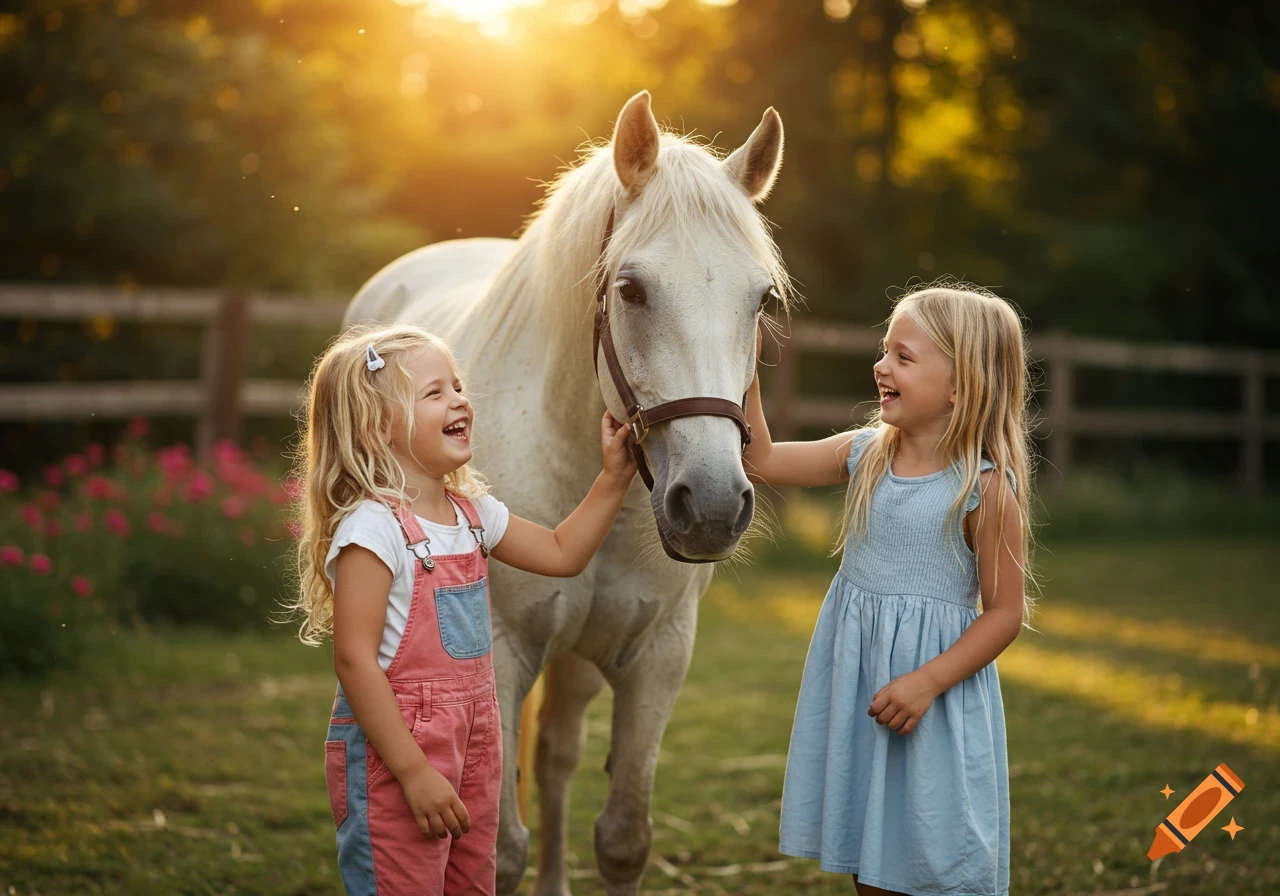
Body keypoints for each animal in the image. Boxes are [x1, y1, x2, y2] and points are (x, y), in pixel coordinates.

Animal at [344, 91, 787, 896]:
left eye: (761, 298)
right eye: (631, 289)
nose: (710, 507)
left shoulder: (659, 655)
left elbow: (622, 837)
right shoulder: (499, 653)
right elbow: (496, 848)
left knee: (555, 757)